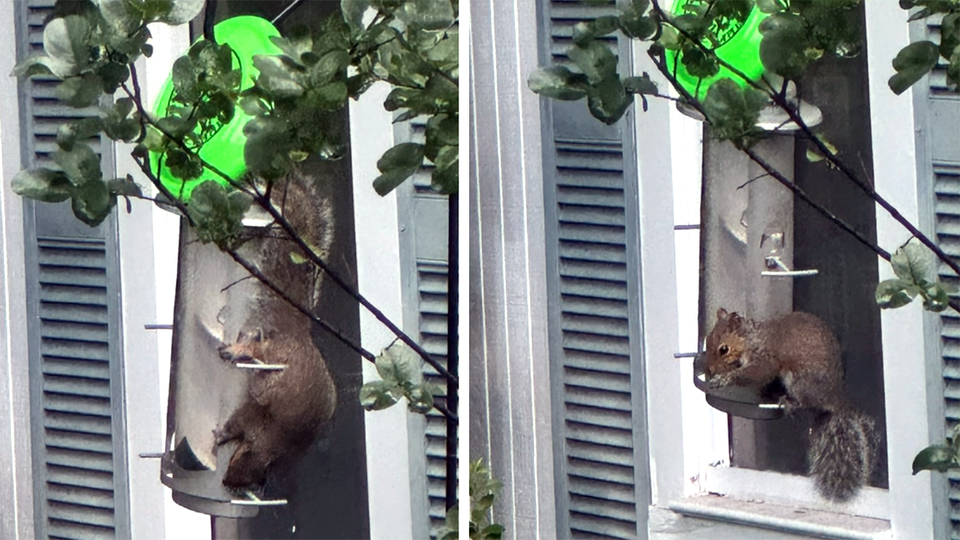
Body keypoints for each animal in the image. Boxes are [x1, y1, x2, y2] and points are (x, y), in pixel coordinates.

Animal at [213, 169, 337, 490]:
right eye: (238, 460)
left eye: (244, 481)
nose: (225, 482)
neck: (274, 445)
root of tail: (297, 333)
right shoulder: (254, 417)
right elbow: (236, 422)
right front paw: (220, 435)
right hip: (273, 353)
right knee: (256, 349)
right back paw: (238, 349)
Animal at [705, 308, 876, 502]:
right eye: (707, 340)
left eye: (723, 349)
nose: (711, 370)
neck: (751, 338)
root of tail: (834, 400)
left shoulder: (765, 358)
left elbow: (756, 373)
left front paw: (725, 379)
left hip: (799, 380)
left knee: (805, 403)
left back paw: (789, 401)